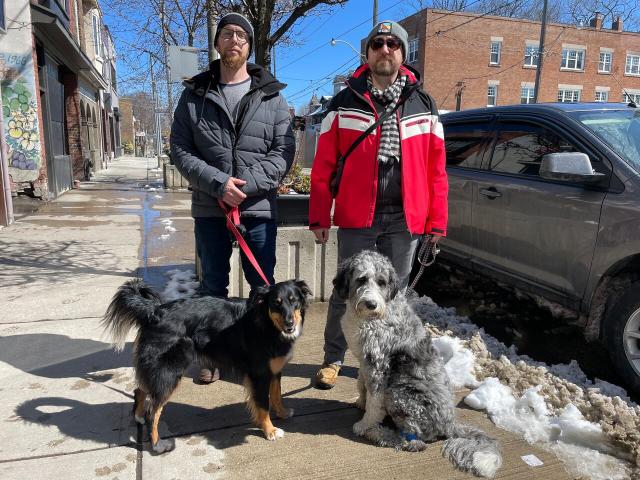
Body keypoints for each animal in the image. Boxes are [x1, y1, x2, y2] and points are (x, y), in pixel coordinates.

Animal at [101, 278, 312, 454]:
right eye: (276, 303)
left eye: (293, 300)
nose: (290, 323)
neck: (267, 323)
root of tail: (154, 311)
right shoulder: (259, 374)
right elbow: (263, 404)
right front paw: (270, 431)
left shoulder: (275, 369)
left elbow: (276, 394)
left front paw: (282, 413)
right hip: (169, 372)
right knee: (153, 411)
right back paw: (157, 445)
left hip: (157, 370)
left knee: (140, 389)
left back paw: (138, 416)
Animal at [338, 249, 502, 478]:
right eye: (361, 279)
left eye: (381, 282)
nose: (371, 304)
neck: (372, 316)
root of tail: (451, 424)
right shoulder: (364, 360)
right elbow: (361, 385)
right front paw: (361, 401)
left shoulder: (378, 364)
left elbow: (375, 400)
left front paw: (365, 423)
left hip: (399, 392)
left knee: (413, 442)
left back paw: (376, 432)